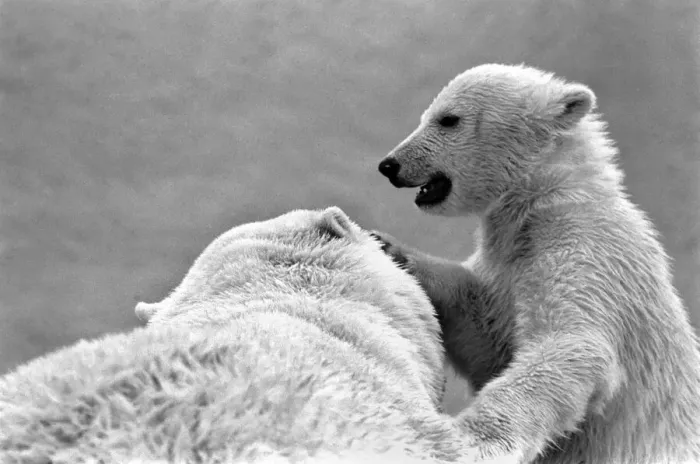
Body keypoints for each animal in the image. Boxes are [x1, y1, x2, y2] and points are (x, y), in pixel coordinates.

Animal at [374, 63, 700, 463]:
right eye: (429, 114)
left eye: (448, 119)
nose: (389, 165)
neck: (549, 194)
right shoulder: (512, 260)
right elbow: (487, 334)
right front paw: (391, 248)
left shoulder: (585, 249)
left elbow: (570, 346)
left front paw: (469, 441)